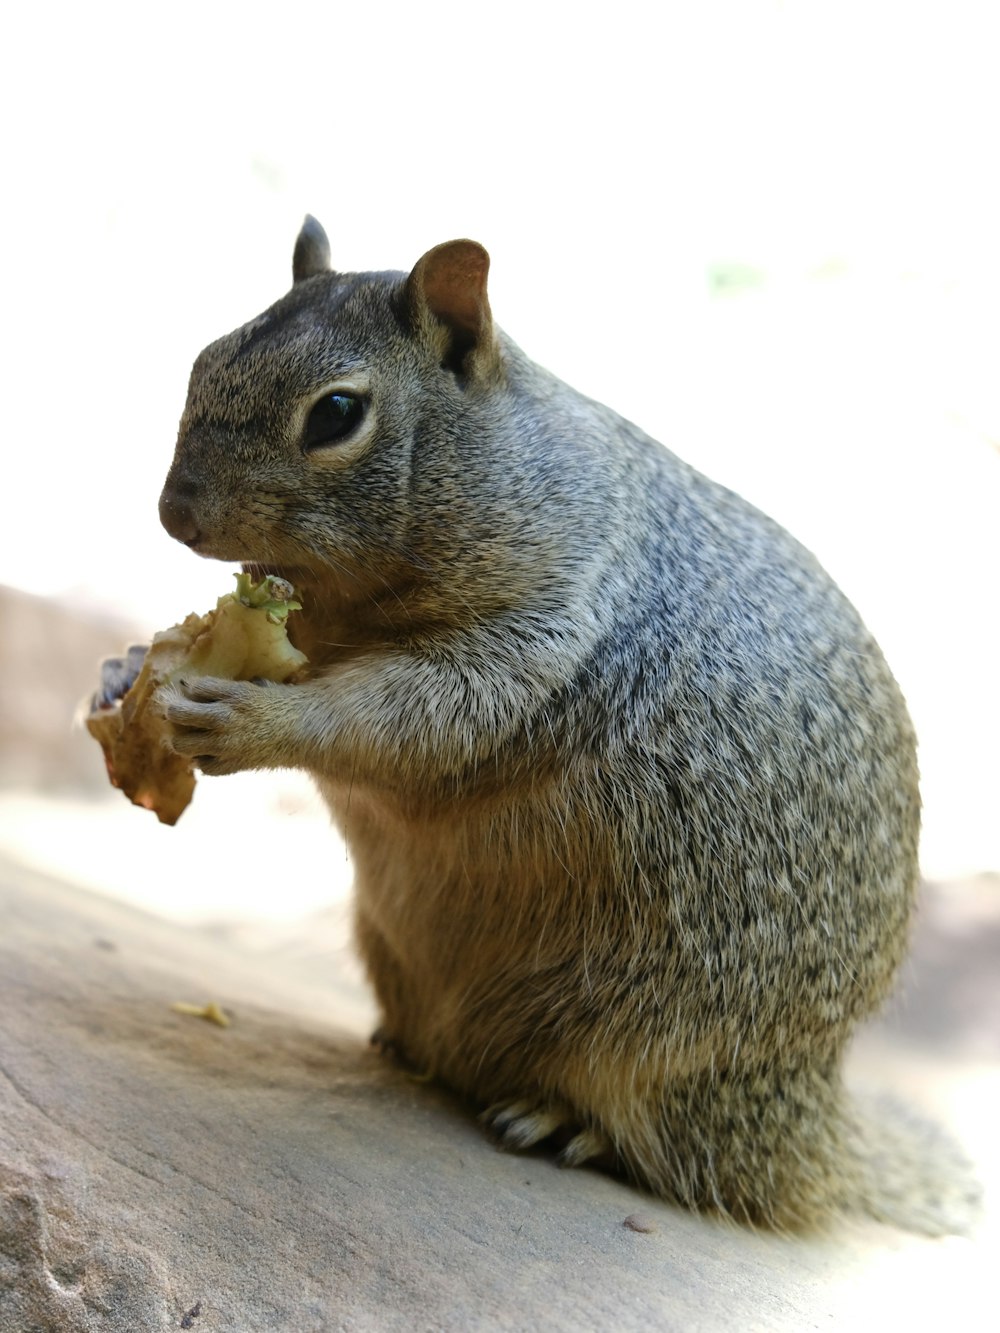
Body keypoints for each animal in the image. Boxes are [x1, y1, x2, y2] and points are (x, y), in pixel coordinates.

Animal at [148, 215, 981, 1226]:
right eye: (206, 357)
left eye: (337, 413)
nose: (175, 513)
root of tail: (815, 1129)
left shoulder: (544, 627)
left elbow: (414, 720)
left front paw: (250, 719)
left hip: (653, 1043)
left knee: (671, 1147)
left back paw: (562, 1123)